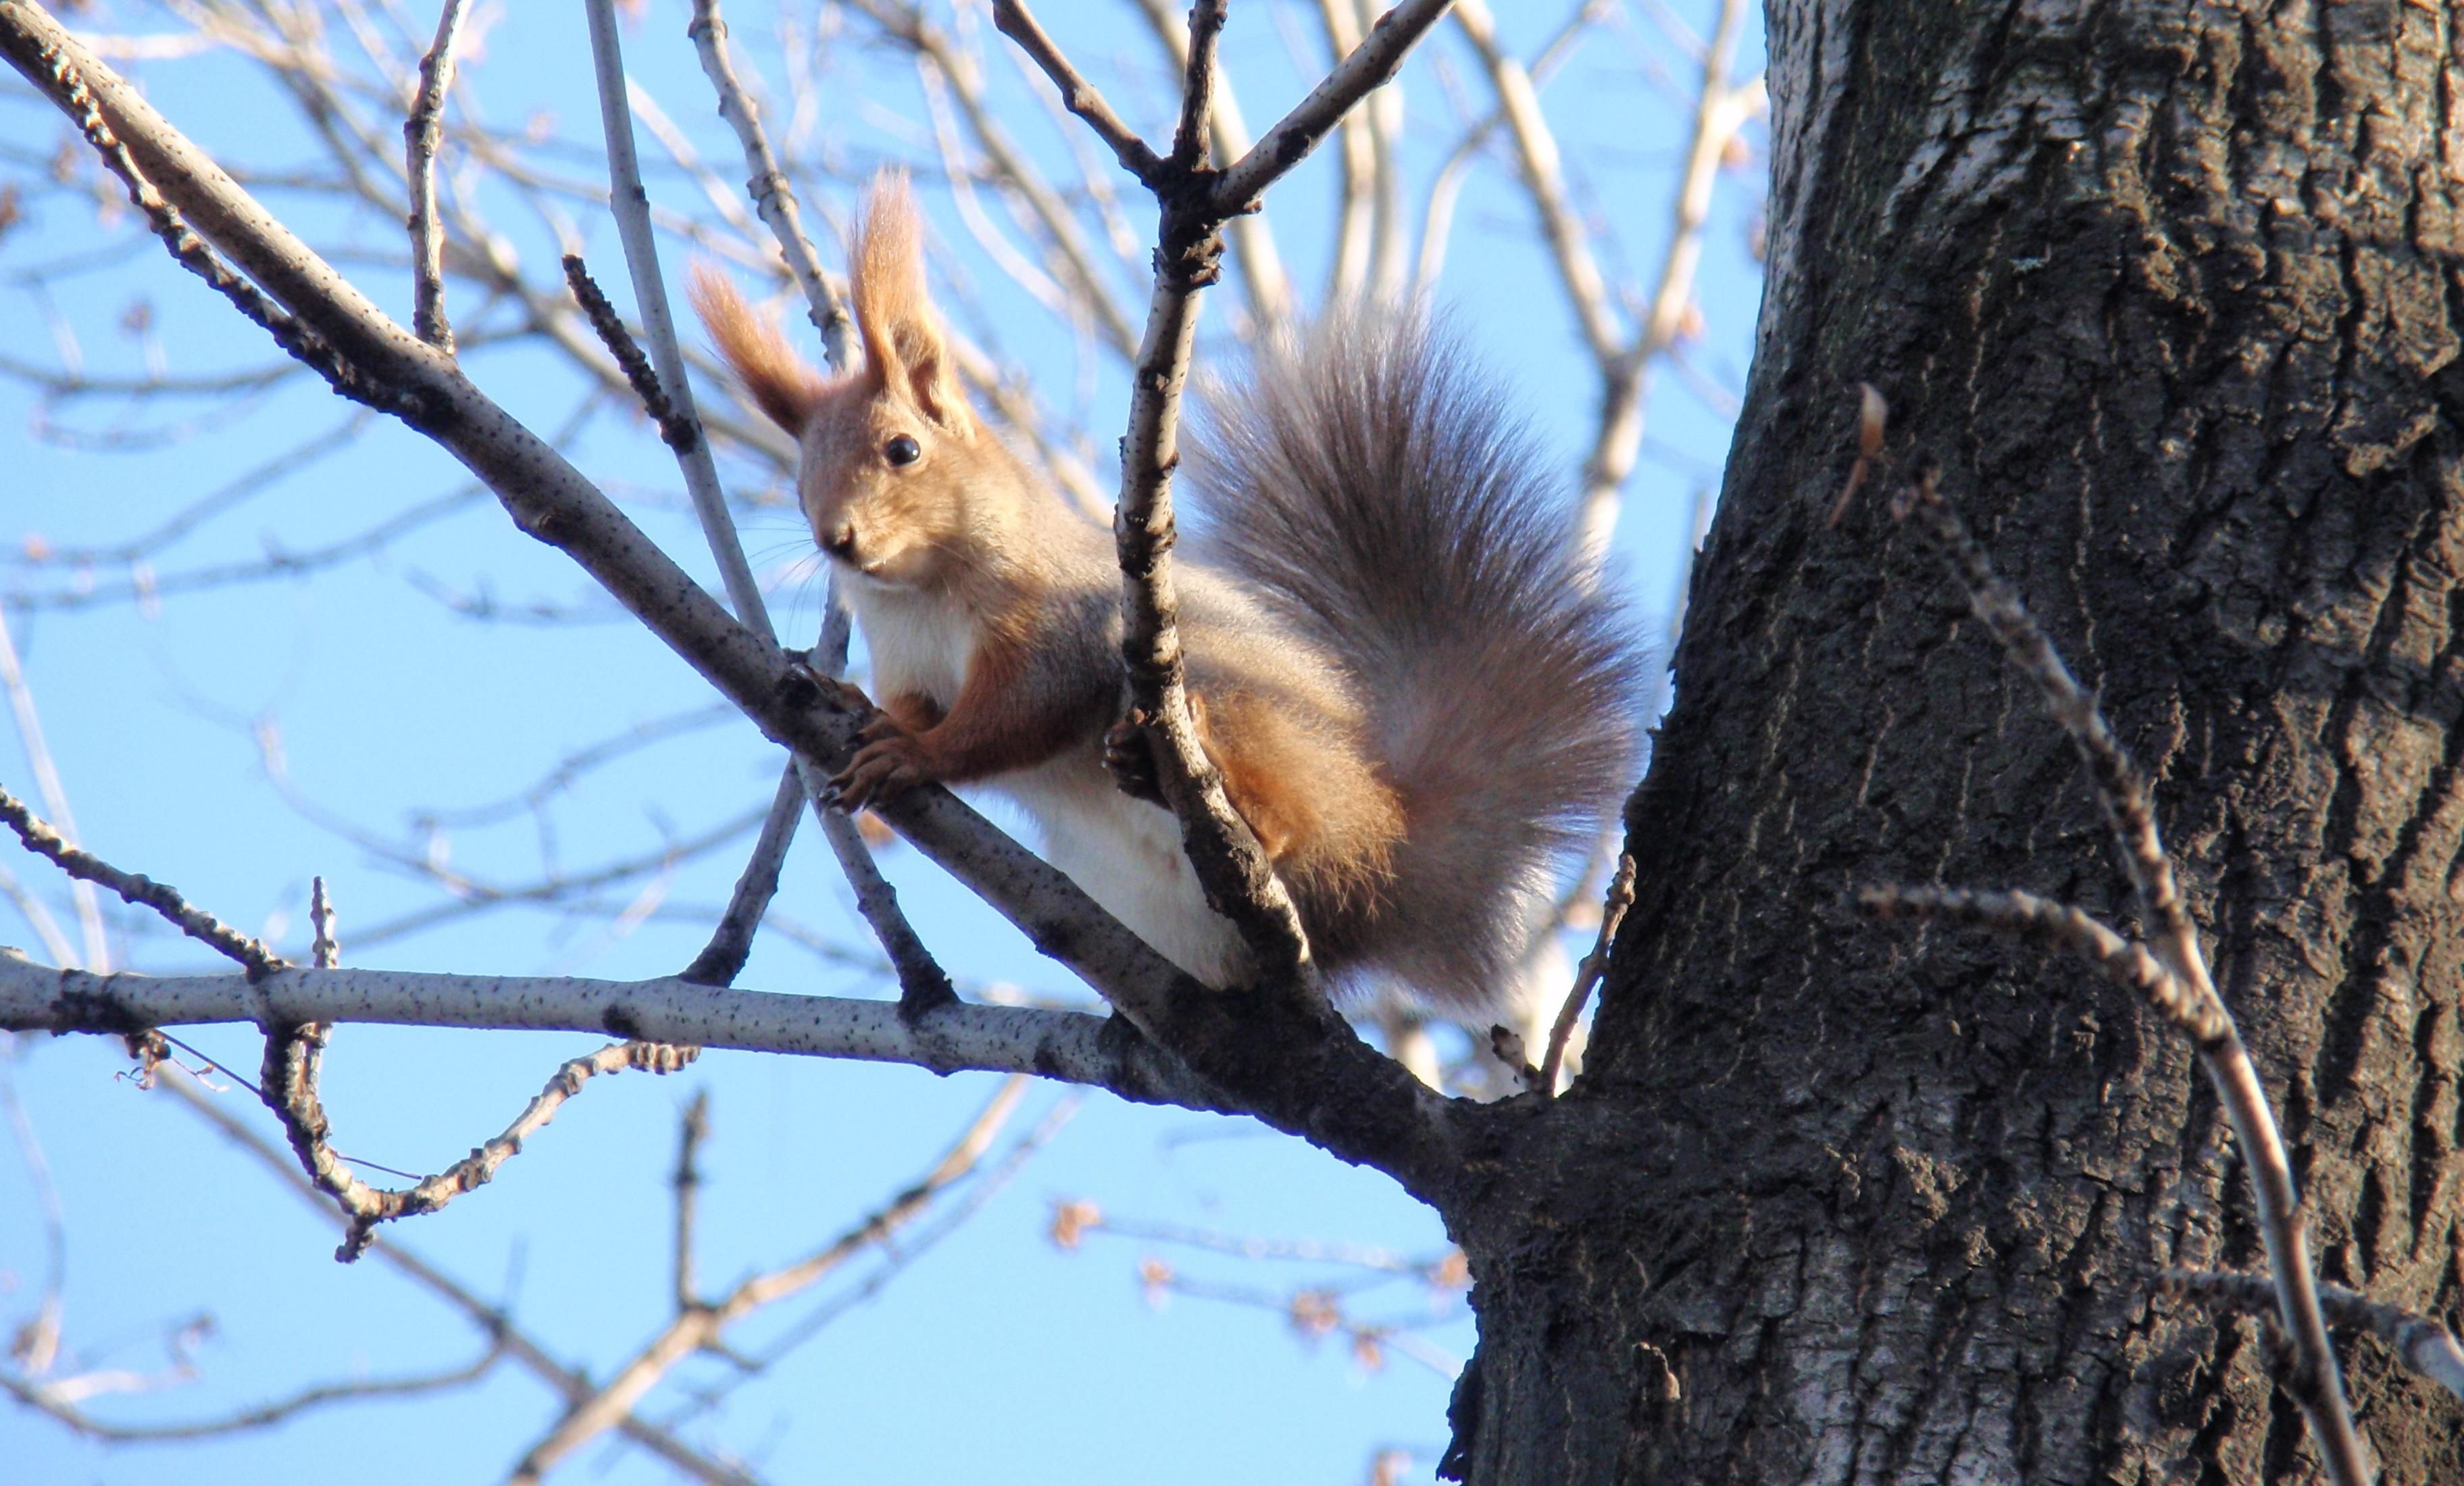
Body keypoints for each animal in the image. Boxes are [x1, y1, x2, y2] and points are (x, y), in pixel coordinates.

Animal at [695, 177, 1636, 1010]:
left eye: (903, 451)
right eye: (799, 483)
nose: (836, 539)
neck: (917, 595)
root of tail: (1389, 844)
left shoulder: (1055, 624)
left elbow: (1020, 713)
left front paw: (917, 755)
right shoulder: (909, 661)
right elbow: (916, 703)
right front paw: (863, 710)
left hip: (1244, 708)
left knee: (1288, 820)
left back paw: (1226, 800)